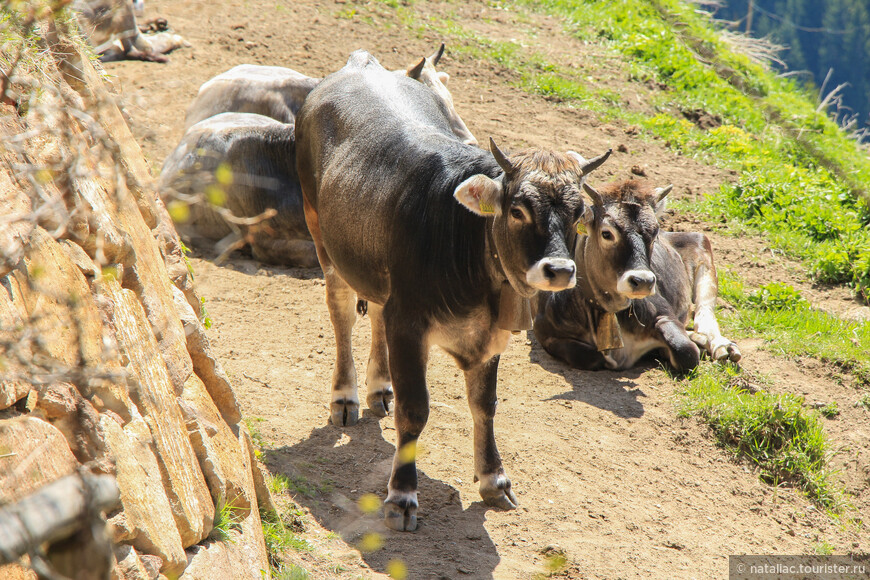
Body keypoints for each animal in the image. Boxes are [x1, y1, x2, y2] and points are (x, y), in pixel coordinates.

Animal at [536, 177, 740, 372]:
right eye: (606, 233)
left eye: (654, 232)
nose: (642, 281)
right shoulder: (546, 333)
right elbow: (591, 357)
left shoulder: (663, 314)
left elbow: (686, 351)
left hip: (702, 246)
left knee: (705, 315)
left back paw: (723, 347)